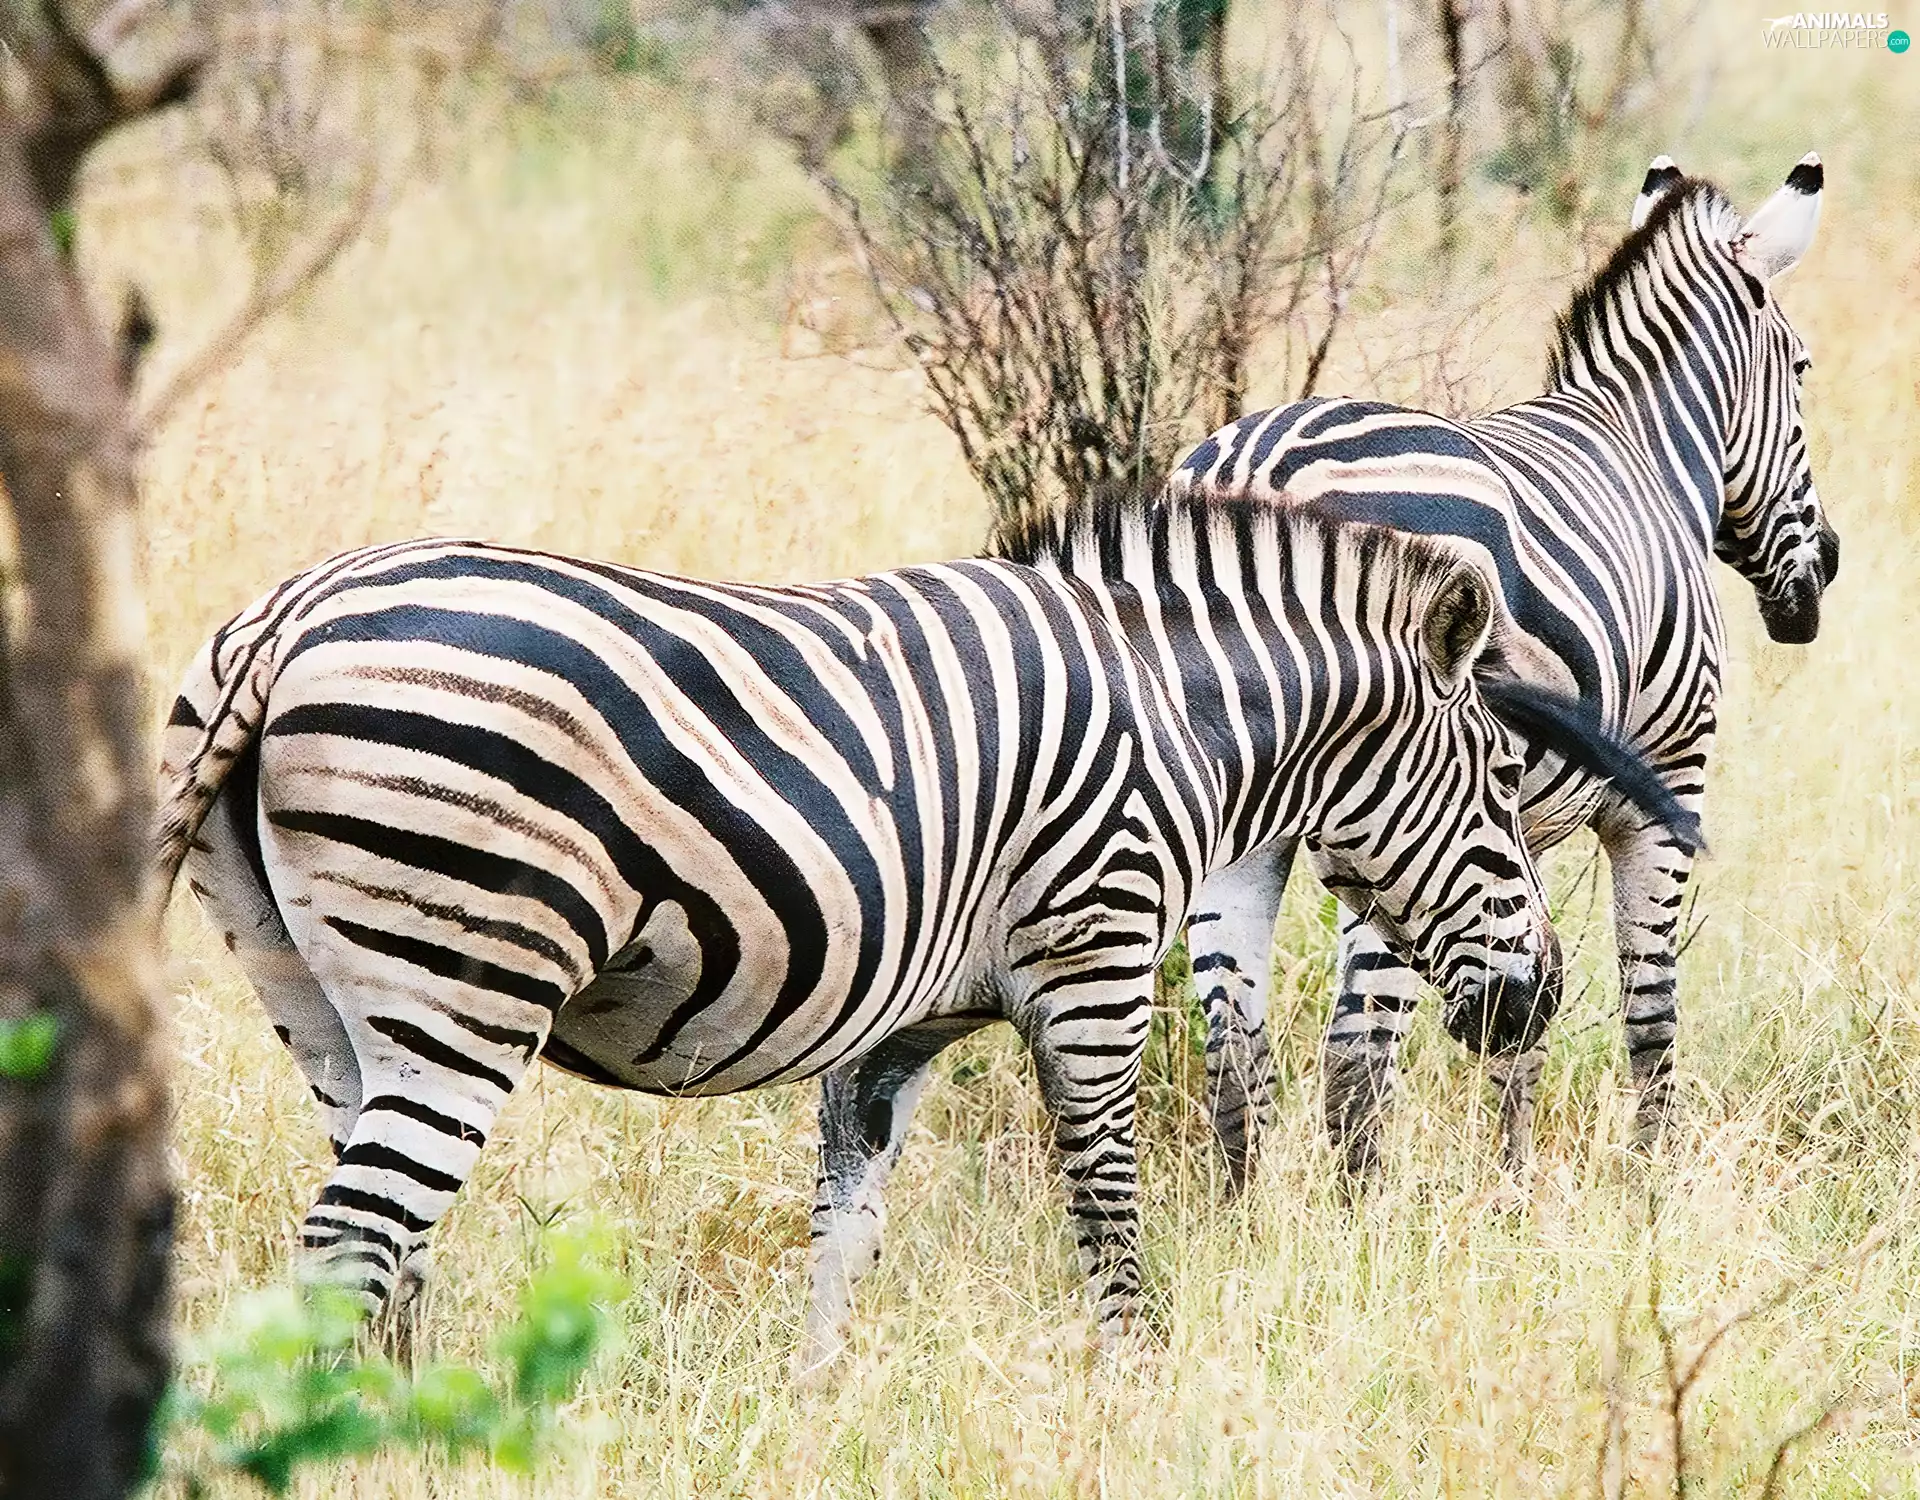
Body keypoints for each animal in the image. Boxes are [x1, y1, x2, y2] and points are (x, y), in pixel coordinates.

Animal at [154, 496, 1692, 1358]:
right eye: (1500, 785)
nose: (1539, 1001)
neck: (1180, 716)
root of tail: (285, 620)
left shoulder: (891, 1029)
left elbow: (845, 1234)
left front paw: (815, 1406)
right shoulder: (1095, 957)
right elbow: (1109, 1206)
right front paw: (1134, 1385)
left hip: (326, 1009)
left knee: (386, 1251)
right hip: (465, 993)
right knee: (351, 1244)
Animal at [1165, 153, 1835, 1184]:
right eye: (1800, 371)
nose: (1826, 566)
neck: (1649, 450)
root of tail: (1258, 464)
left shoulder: (1514, 822)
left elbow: (1527, 1009)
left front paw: (1513, 1187)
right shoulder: (1664, 787)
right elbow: (1650, 1003)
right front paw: (1650, 1184)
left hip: (1256, 818)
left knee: (1235, 1044)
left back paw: (1243, 1215)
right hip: (1389, 807)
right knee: (1356, 1051)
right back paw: (1366, 1217)